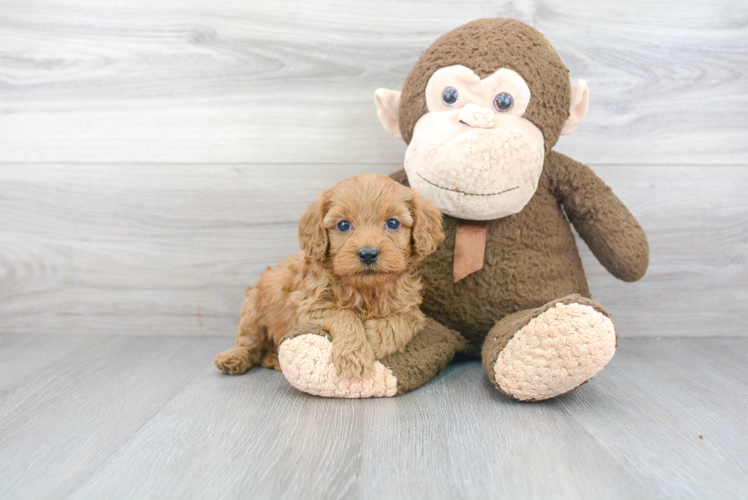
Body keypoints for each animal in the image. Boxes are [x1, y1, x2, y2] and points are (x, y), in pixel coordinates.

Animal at [213, 174, 442, 376]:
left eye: (393, 223)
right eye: (343, 225)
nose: (368, 254)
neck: (365, 289)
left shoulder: (412, 312)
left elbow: (399, 323)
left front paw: (373, 339)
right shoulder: (308, 307)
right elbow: (344, 314)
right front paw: (354, 354)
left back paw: (273, 359)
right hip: (253, 309)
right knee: (249, 343)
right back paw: (234, 358)